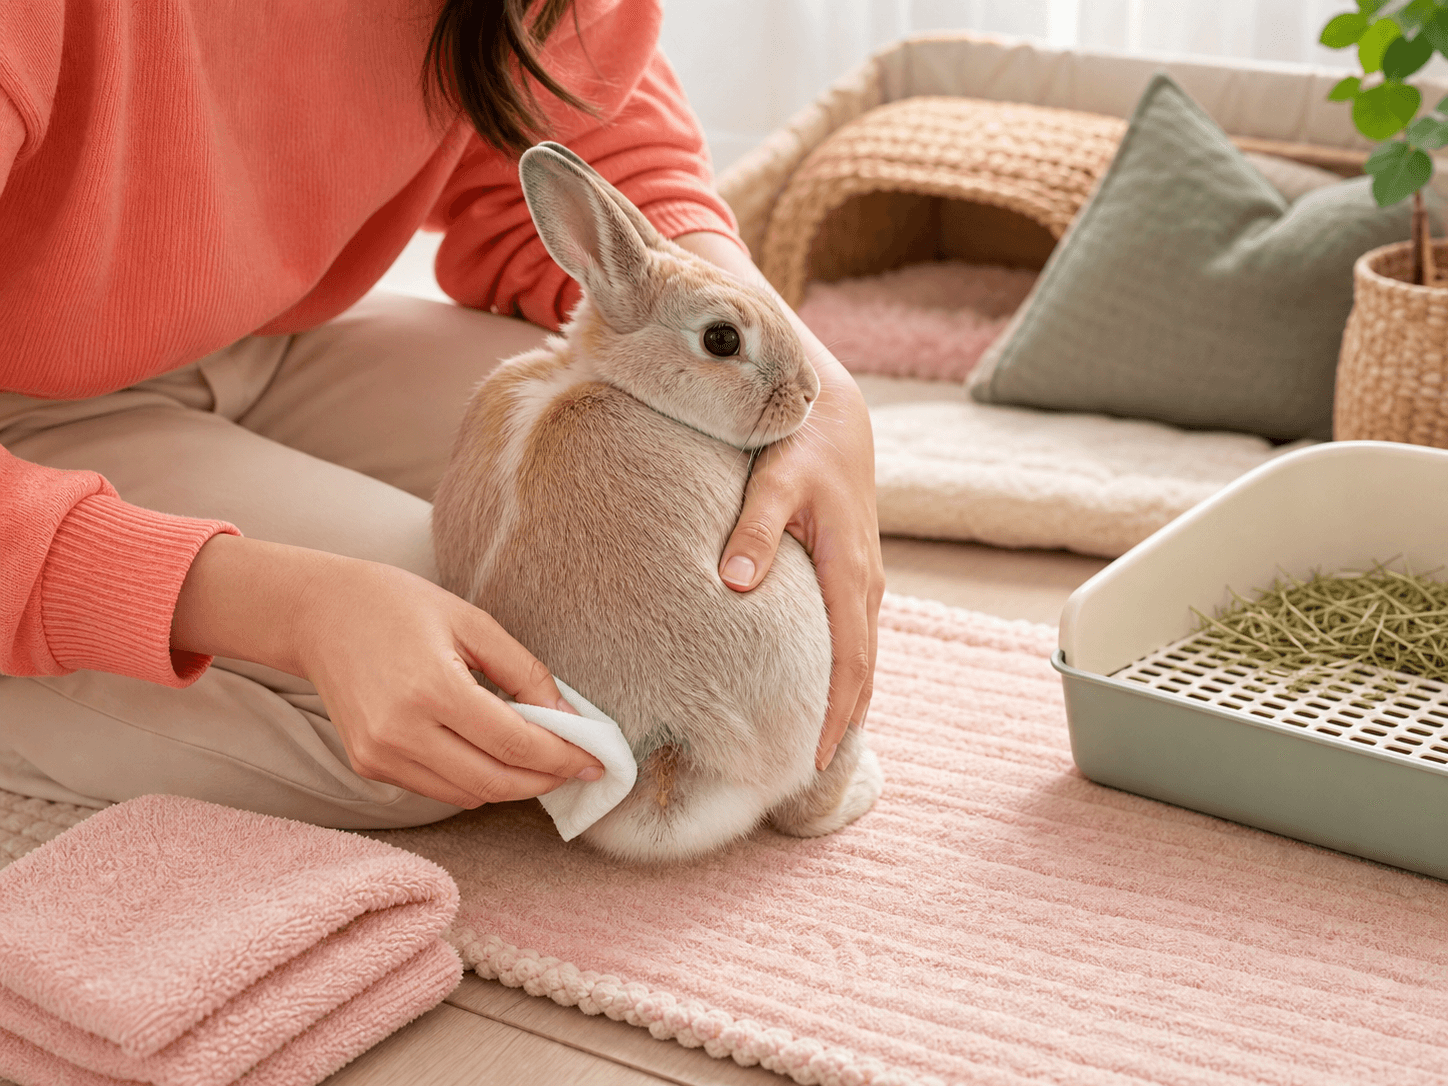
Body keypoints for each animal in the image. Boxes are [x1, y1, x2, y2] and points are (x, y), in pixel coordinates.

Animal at [432, 141, 882, 864]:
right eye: (722, 339)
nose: (811, 392)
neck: (606, 376)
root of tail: (672, 754)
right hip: (833, 698)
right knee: (806, 810)